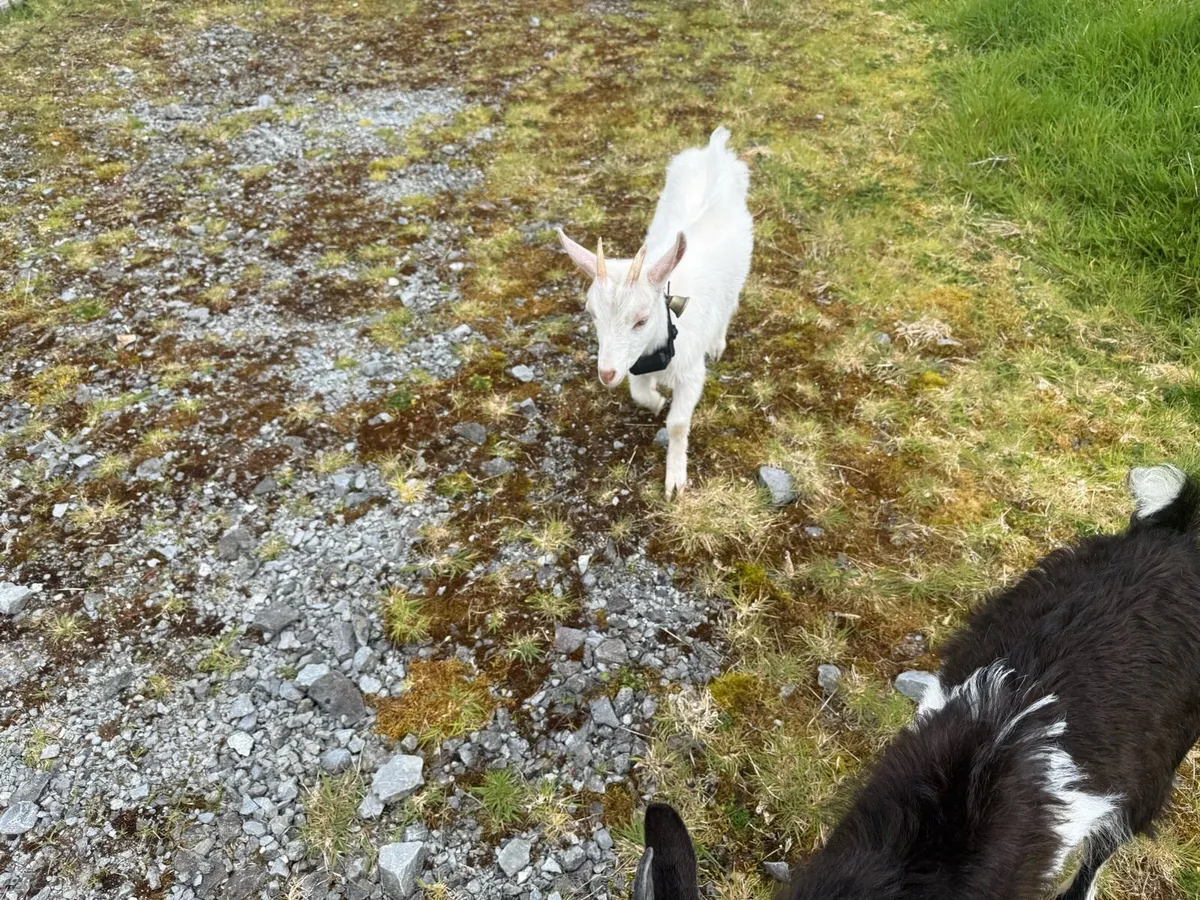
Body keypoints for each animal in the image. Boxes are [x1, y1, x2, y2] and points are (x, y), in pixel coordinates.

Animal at [557, 126, 753, 497]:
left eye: (642, 320)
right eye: (591, 314)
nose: (606, 374)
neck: (667, 336)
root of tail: (715, 152)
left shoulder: (691, 373)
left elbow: (677, 423)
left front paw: (675, 480)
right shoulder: (633, 365)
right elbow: (639, 394)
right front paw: (657, 400)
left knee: (729, 305)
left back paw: (718, 343)